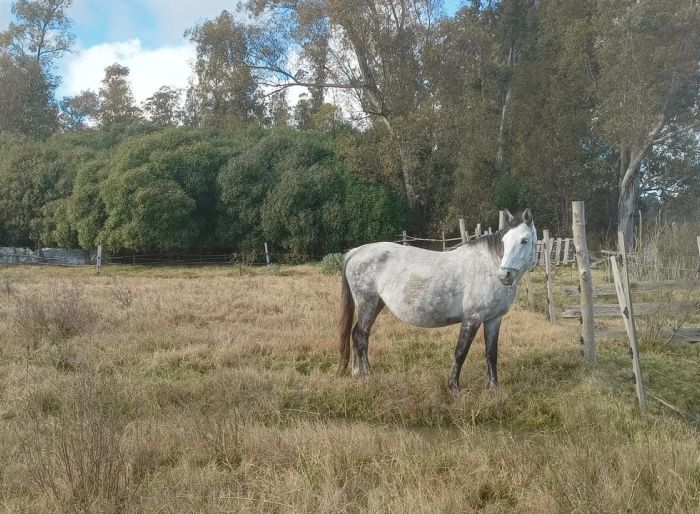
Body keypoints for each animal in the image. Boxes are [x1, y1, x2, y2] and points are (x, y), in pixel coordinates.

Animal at [336, 207, 540, 388]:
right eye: (504, 242)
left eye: (524, 240)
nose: (504, 275)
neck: (488, 266)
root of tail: (356, 252)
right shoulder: (472, 317)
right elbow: (461, 351)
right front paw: (453, 387)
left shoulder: (493, 319)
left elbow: (491, 353)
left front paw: (492, 387)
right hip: (367, 303)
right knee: (360, 335)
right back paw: (364, 374)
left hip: (376, 304)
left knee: (360, 335)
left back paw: (360, 372)